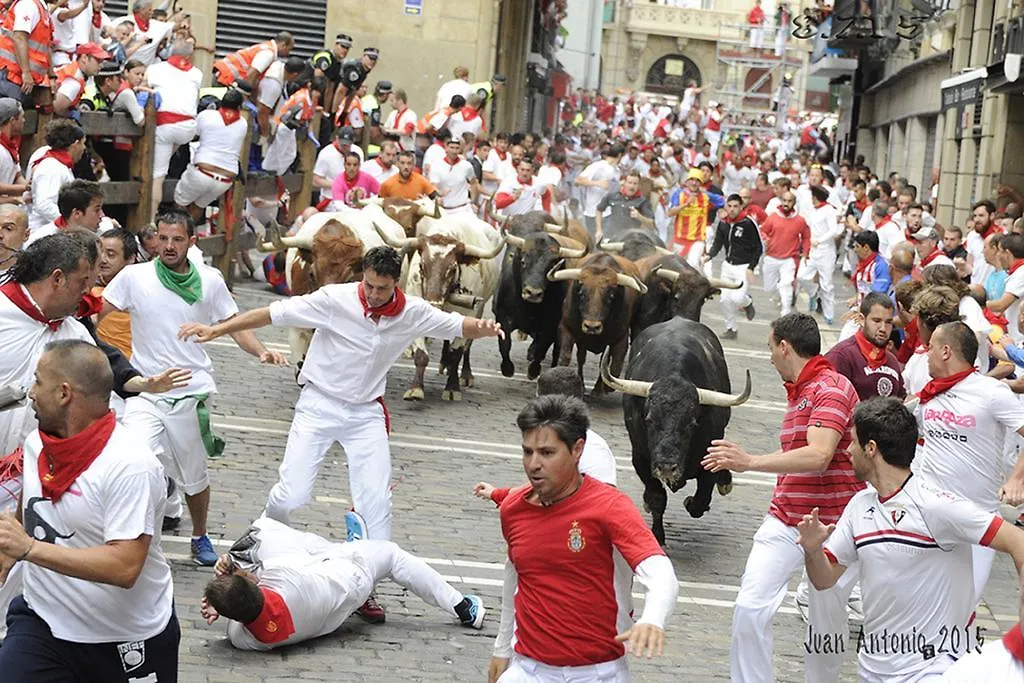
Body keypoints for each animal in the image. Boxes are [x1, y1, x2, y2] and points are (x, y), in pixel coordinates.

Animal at [376, 215, 503, 401]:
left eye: (452, 268)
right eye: (422, 266)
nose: (432, 304)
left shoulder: (468, 314)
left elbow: (457, 352)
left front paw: (452, 388)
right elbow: (421, 354)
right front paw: (416, 389)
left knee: (467, 347)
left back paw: (465, 374)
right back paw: (444, 363)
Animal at [598, 317, 753, 548]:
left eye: (691, 423)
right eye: (649, 420)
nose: (667, 466)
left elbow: (701, 499)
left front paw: (691, 502)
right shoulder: (641, 459)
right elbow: (656, 497)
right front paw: (657, 536)